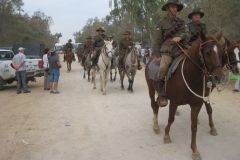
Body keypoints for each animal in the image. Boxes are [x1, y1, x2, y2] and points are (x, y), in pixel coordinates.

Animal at [144, 32, 225, 160]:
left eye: (222, 52)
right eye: (208, 52)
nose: (219, 77)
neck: (190, 75)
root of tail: (151, 58)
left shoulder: (197, 104)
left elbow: (194, 126)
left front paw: (194, 150)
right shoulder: (174, 102)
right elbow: (171, 119)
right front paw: (166, 135)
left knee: (157, 103)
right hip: (151, 89)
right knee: (154, 105)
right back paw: (156, 126)